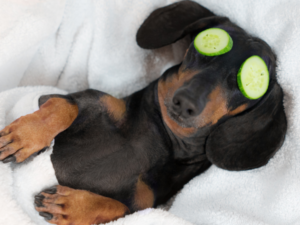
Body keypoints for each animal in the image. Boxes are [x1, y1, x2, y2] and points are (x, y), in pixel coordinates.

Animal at [0, 0, 288, 224]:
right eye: (205, 46)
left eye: (247, 83)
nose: (185, 102)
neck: (164, 139)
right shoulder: (71, 98)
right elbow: (63, 107)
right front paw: (23, 136)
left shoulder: (144, 207)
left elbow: (118, 207)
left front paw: (70, 207)